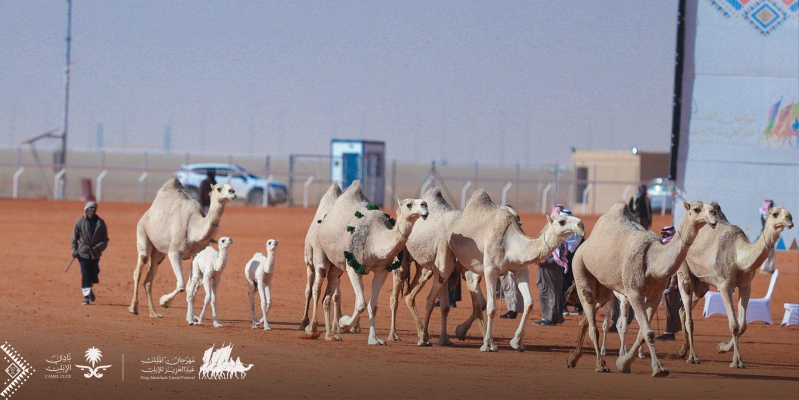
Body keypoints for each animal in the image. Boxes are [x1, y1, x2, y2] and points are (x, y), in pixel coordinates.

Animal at [130, 178, 236, 318]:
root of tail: (146, 214)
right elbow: (181, 285)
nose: (232, 192)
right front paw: (164, 301)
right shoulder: (174, 252)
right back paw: (133, 308)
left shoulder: (196, 255)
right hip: (142, 232)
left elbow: (193, 286)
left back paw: (154, 313)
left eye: (231, 187)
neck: (194, 229)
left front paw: (192, 315)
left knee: (148, 279)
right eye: (219, 188)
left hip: (158, 253)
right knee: (139, 268)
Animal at [310, 181, 428, 344]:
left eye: (422, 203)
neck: (375, 238)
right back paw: (312, 328)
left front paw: (374, 339)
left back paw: (330, 335)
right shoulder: (353, 267)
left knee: (327, 295)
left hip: (336, 267)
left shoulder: (382, 270)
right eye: (409, 204)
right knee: (318, 284)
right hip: (319, 249)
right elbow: (361, 305)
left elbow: (373, 306)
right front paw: (344, 323)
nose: (425, 205)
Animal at [432, 189, 588, 352]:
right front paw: (488, 344)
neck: (511, 244)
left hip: (469, 267)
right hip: (446, 250)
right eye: (562, 221)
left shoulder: (520, 270)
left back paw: (459, 332)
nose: (581, 224)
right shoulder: (490, 270)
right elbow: (492, 308)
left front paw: (516, 342)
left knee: (475, 296)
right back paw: (441, 338)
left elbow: (529, 303)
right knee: (445, 282)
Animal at [564, 202, 720, 376]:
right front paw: (658, 368)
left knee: (586, 318)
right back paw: (600, 364)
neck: (652, 261)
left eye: (712, 207)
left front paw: (623, 363)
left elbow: (643, 332)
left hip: (604, 289)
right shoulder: (634, 293)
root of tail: (584, 245)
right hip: (580, 268)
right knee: (592, 323)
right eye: (696, 209)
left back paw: (573, 358)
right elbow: (648, 332)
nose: (713, 214)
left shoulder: (655, 295)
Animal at [676, 205, 792, 368]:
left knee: (684, 310)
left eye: (789, 213)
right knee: (688, 311)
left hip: (701, 284)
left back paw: (682, 350)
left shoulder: (746, 286)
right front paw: (737, 361)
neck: (738, 256)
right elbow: (734, 325)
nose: (789, 219)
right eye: (775, 213)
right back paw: (692, 357)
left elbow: (743, 325)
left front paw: (722, 348)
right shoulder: (725, 285)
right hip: (683, 266)